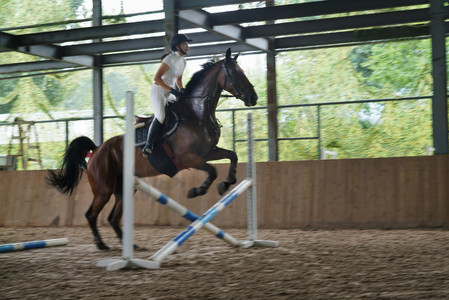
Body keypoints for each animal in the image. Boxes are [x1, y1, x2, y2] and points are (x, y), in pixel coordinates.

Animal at [47, 48, 258, 251]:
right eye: (235, 72)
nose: (253, 97)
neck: (196, 113)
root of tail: (97, 149)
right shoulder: (188, 158)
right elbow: (212, 171)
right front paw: (197, 191)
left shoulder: (208, 152)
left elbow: (232, 156)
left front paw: (227, 183)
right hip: (103, 189)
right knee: (91, 214)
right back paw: (101, 244)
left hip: (125, 188)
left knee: (113, 217)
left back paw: (129, 245)